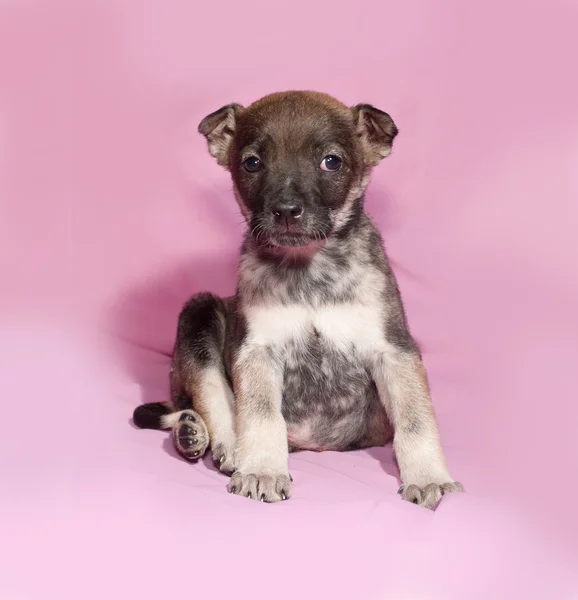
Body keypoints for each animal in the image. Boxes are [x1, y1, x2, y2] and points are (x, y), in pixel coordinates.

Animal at [133, 91, 462, 508]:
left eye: (331, 162)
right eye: (252, 163)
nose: (286, 211)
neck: (308, 267)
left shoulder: (394, 349)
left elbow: (416, 420)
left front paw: (429, 477)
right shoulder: (257, 350)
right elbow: (260, 414)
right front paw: (262, 469)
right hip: (199, 313)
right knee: (210, 399)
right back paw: (211, 440)